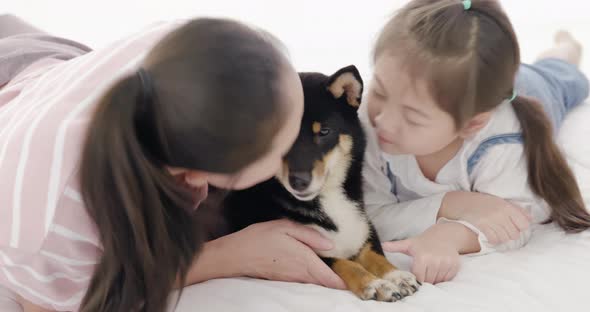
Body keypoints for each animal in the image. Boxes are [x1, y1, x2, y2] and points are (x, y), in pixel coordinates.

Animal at [222, 64, 420, 302]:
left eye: (324, 131)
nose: (298, 181)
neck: (329, 200)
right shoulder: (309, 251)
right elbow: (345, 263)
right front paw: (375, 284)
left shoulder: (363, 228)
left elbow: (375, 255)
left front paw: (397, 275)